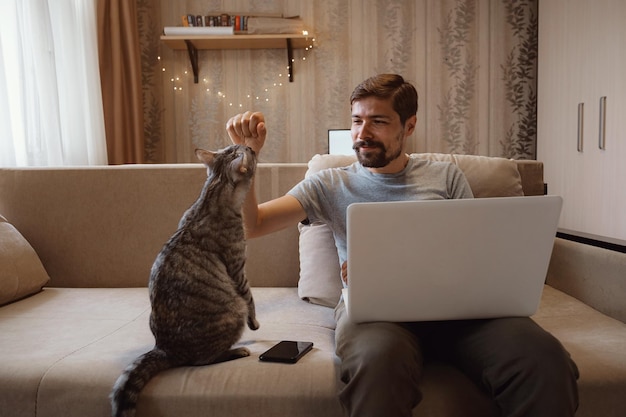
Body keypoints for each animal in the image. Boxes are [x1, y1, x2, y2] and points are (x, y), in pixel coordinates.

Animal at [109, 144, 258, 416]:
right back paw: (237, 350)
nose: (251, 147)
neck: (211, 195)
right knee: (202, 360)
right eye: (247, 152)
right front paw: (255, 323)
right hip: (234, 310)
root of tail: (165, 348)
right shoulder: (238, 269)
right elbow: (250, 298)